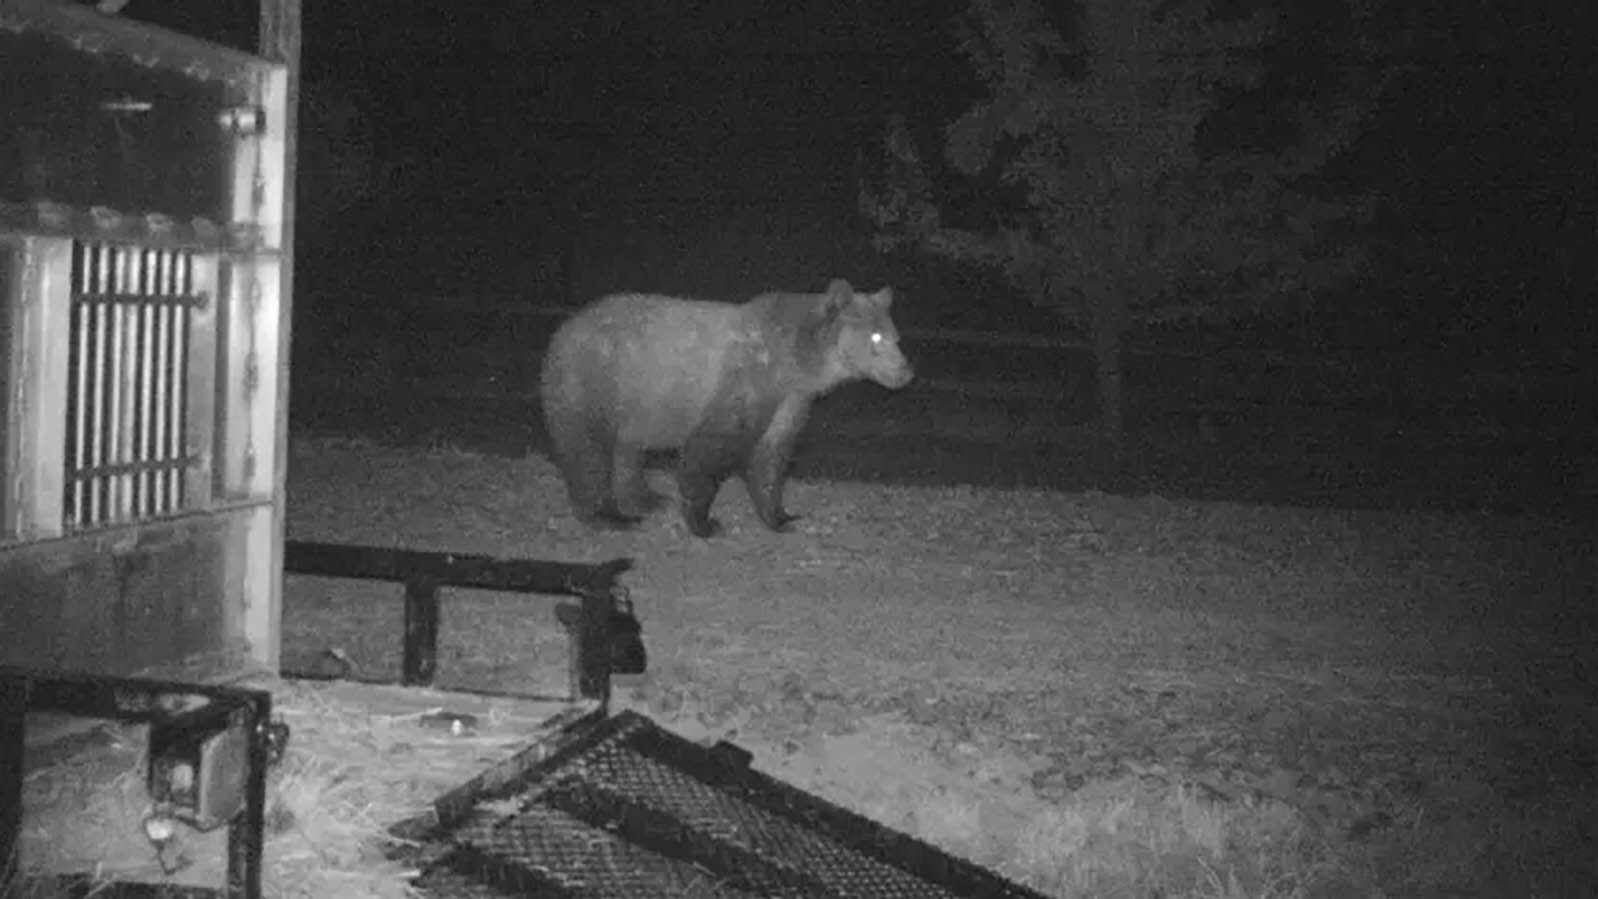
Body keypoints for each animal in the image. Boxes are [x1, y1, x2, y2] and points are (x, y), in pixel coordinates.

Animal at [538, 278, 914, 538]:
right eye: (877, 338)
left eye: (895, 336)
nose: (907, 371)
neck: (797, 363)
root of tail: (562, 330)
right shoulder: (745, 384)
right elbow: (711, 450)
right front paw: (704, 521)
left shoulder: (789, 400)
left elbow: (772, 454)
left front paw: (782, 517)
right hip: (594, 382)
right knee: (589, 450)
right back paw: (608, 515)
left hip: (632, 403)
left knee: (626, 450)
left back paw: (645, 498)